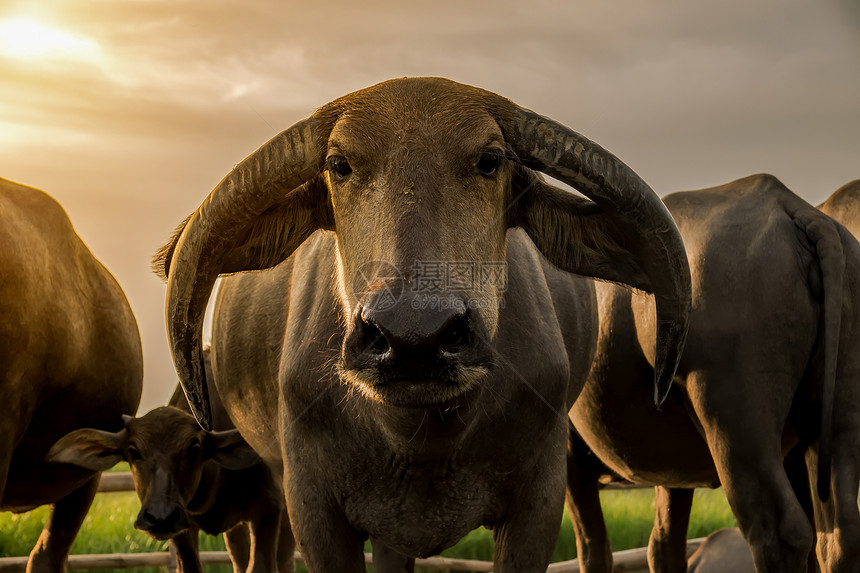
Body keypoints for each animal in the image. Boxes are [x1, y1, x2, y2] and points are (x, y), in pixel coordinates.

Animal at [155, 77, 692, 572]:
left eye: (490, 159)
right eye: (340, 165)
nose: (414, 336)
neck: (420, 439)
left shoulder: (539, 503)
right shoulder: (312, 512)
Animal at [564, 174, 860, 572]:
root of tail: (798, 210)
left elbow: (593, 548)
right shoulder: (673, 468)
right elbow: (664, 544)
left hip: (734, 419)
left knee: (779, 529)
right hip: (836, 408)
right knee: (837, 535)